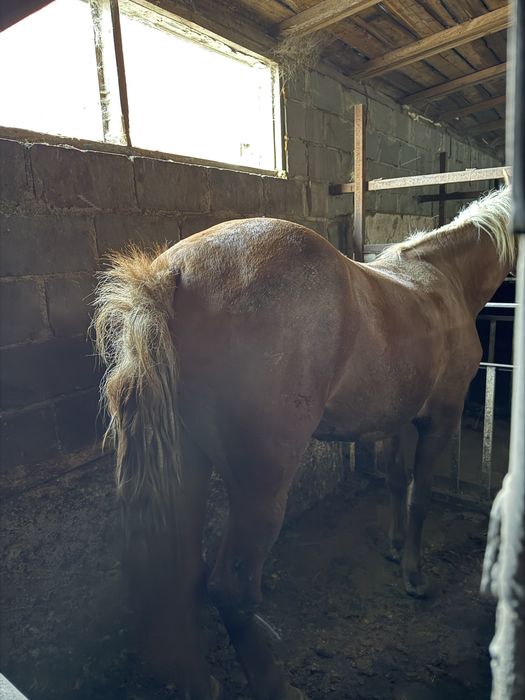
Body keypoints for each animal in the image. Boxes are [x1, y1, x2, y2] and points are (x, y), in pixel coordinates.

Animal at [92, 188, 514, 700]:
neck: (441, 281)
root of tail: (169, 275)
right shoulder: (439, 418)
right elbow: (420, 497)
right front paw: (414, 575)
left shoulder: (398, 419)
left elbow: (396, 482)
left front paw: (395, 549)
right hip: (261, 487)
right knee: (230, 588)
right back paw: (275, 685)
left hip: (187, 468)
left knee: (183, 573)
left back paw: (201, 684)